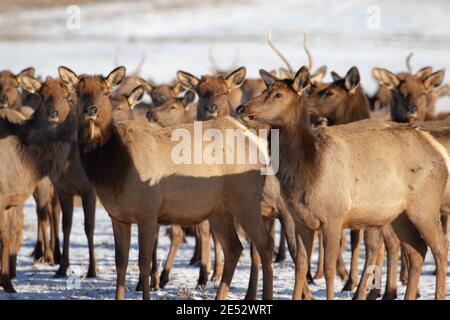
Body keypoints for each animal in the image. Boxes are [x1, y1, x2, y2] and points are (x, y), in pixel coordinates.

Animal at [0, 76, 76, 292]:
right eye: (43, 96)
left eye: (66, 96)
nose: (53, 113)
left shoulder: (11, 199)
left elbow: (8, 236)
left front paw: (7, 283)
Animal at [56, 65, 274, 300]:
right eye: (79, 92)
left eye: (105, 92)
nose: (91, 110)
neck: (114, 170)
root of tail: (256, 141)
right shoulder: (117, 215)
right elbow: (121, 262)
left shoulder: (148, 209)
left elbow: (143, 262)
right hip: (219, 209)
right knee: (234, 248)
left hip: (246, 199)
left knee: (264, 246)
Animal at [237, 66, 448, 298]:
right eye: (265, 90)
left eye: (278, 95)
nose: (241, 107)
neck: (308, 172)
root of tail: (439, 153)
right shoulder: (300, 219)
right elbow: (300, 266)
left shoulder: (334, 215)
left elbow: (329, 269)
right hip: (399, 215)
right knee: (416, 250)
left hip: (425, 207)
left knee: (440, 249)